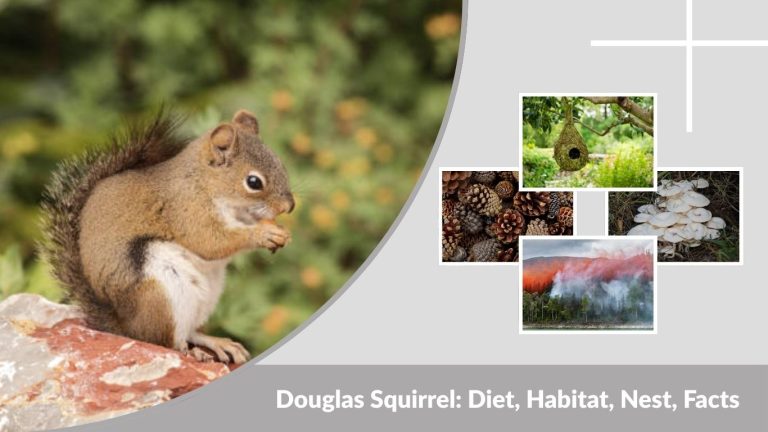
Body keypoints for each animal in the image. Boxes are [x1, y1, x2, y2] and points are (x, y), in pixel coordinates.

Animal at [40, 109, 294, 364]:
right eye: (253, 182)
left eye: (281, 164)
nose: (289, 207)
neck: (204, 182)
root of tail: (124, 327)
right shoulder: (187, 211)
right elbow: (211, 241)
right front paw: (263, 233)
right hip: (164, 292)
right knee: (164, 340)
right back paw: (191, 351)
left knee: (190, 331)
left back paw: (217, 343)